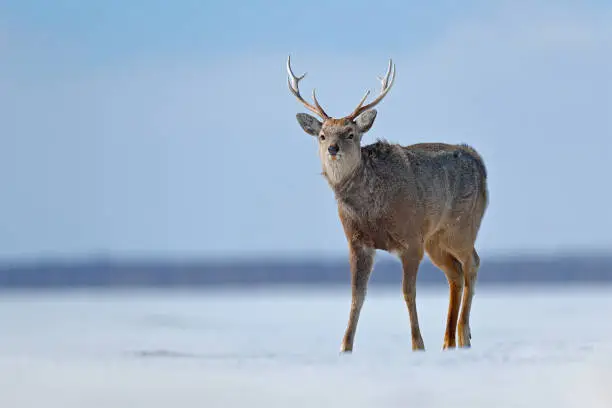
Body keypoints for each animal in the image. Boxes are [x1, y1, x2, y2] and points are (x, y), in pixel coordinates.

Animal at [288, 55, 492, 352]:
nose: (333, 149)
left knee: (472, 264)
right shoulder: (357, 241)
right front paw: (345, 347)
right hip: (436, 239)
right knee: (454, 273)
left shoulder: (412, 239)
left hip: (462, 226)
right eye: (322, 135)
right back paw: (447, 341)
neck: (372, 210)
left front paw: (418, 345)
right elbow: (357, 295)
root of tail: (478, 160)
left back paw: (463, 336)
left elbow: (408, 292)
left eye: (350, 133)